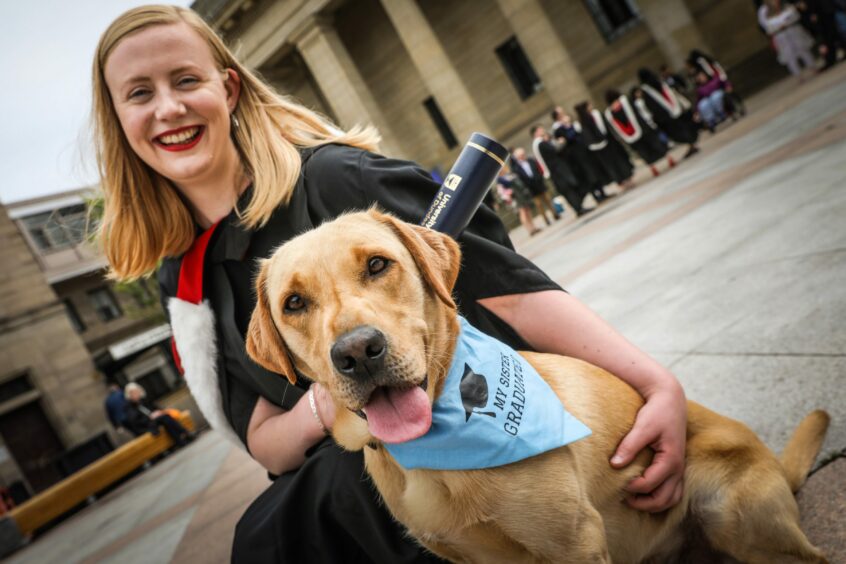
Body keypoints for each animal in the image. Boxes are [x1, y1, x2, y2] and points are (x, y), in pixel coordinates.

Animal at [245, 209, 828, 560]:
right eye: (294, 302)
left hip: (732, 512)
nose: (357, 352)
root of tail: (776, 465)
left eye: (377, 264)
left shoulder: (574, 541)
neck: (439, 449)